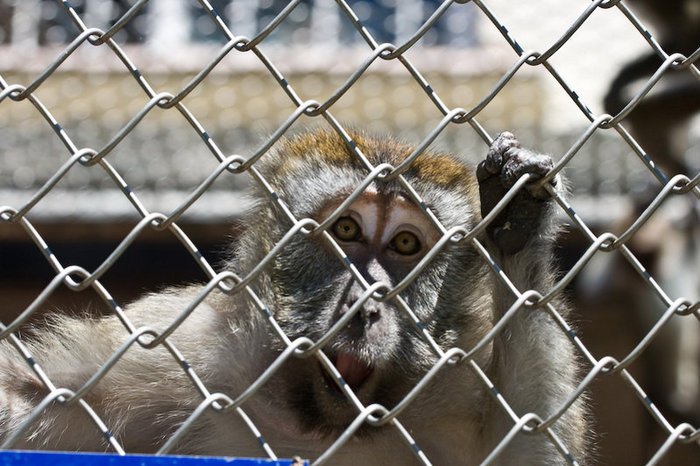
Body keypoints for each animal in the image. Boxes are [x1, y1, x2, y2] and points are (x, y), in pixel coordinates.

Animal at [0, 128, 584, 466]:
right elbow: (39, 400)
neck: (318, 418)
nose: (364, 305)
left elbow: (531, 451)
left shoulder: (459, 383)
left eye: (405, 244)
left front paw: (518, 223)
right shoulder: (175, 348)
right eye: (346, 229)